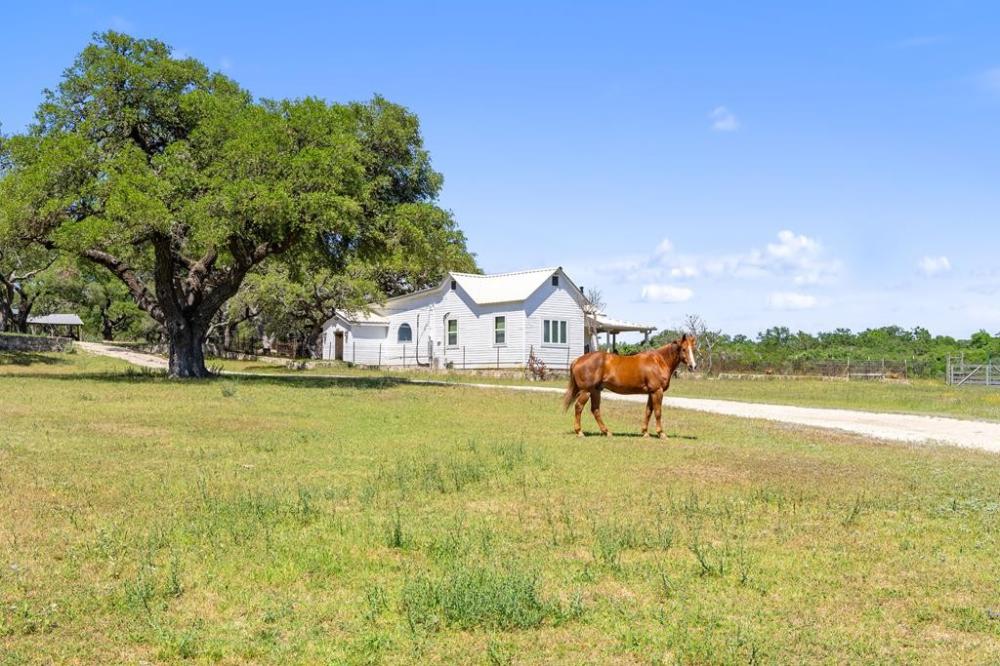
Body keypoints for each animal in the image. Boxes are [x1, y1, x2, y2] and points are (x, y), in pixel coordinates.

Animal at [564, 332, 696, 436]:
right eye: (684, 349)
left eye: (693, 349)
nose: (693, 366)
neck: (659, 361)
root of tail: (577, 360)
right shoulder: (657, 391)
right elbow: (658, 412)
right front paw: (661, 433)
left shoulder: (651, 392)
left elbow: (648, 411)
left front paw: (645, 432)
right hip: (586, 391)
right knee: (579, 407)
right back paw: (580, 432)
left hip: (595, 390)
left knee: (595, 410)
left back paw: (607, 432)